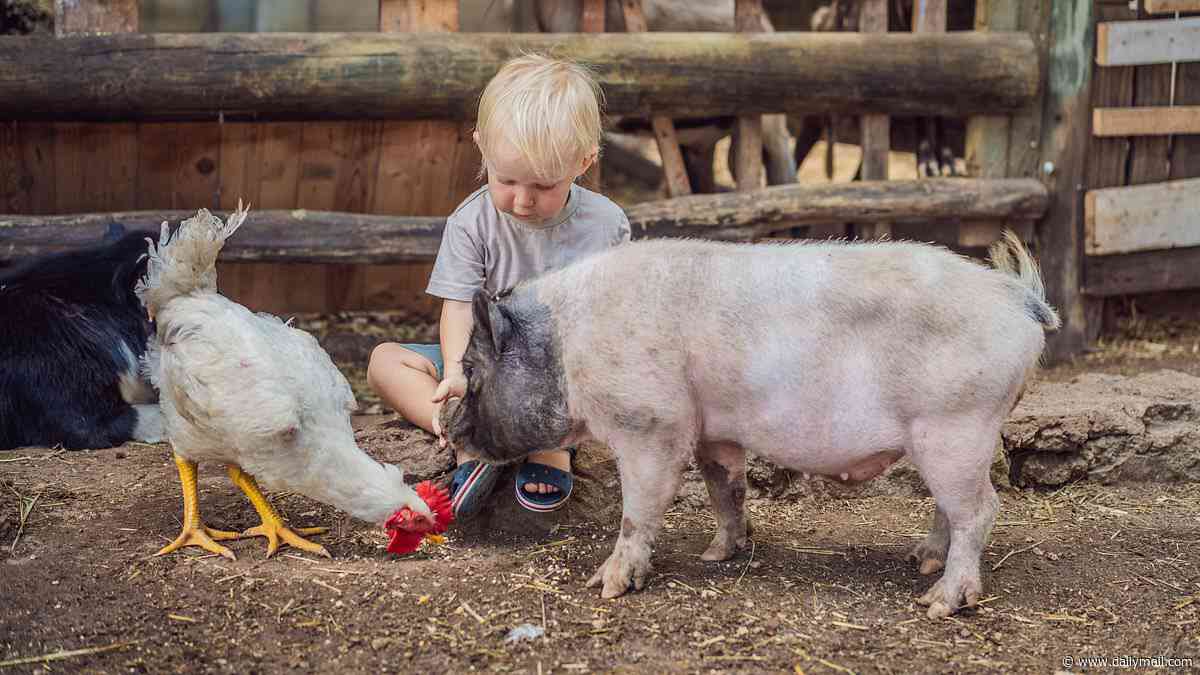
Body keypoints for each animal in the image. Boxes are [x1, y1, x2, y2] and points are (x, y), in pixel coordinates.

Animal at [441, 231, 1059, 619]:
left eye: (471, 370)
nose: (449, 427)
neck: (566, 347)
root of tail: (1018, 298)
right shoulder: (714, 431)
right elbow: (726, 489)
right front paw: (716, 555)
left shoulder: (651, 424)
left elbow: (637, 510)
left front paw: (607, 587)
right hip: (948, 437)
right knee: (948, 508)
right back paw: (919, 561)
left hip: (957, 423)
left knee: (979, 509)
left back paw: (937, 602)